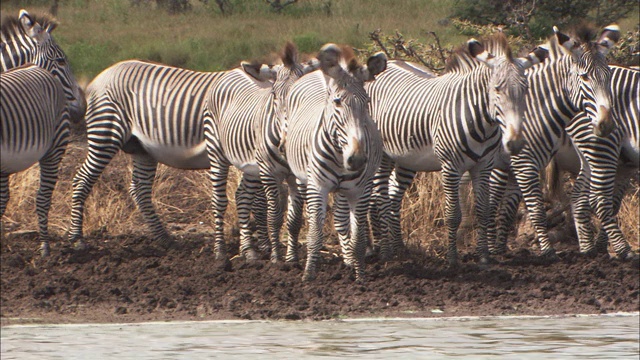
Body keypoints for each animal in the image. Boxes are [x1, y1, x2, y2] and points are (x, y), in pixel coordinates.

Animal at [278, 44, 388, 282]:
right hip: (303, 178)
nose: (357, 159)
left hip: (343, 189)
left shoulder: (360, 190)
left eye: (367, 103)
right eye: (337, 102)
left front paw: (360, 275)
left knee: (340, 219)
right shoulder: (318, 186)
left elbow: (358, 237)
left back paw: (348, 261)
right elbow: (315, 233)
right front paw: (309, 274)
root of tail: (320, 74)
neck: (340, 155)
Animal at [362, 33, 544, 264]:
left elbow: (483, 211)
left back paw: (398, 248)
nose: (516, 143)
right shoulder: (450, 167)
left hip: (406, 158)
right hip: (383, 155)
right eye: (497, 89)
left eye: (526, 90)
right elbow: (453, 214)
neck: (483, 124)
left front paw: (484, 257)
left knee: (393, 197)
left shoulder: (483, 166)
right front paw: (452, 259)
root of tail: (391, 62)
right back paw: (384, 252)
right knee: (379, 197)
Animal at [488, 23, 624, 258]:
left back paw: (499, 249)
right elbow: (536, 209)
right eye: (584, 77)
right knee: (493, 200)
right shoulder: (525, 162)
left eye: (609, 77)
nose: (606, 125)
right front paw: (548, 252)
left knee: (505, 206)